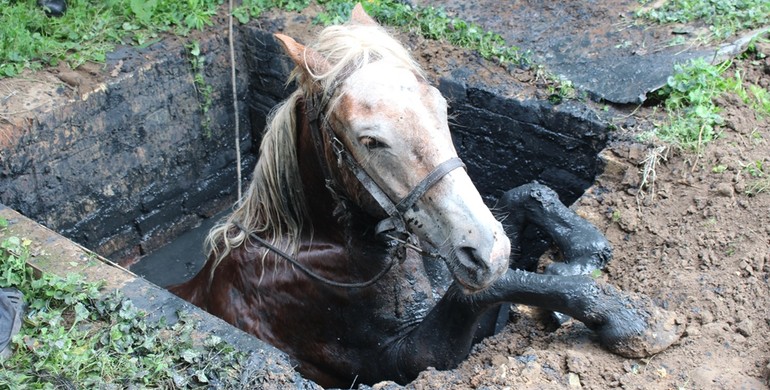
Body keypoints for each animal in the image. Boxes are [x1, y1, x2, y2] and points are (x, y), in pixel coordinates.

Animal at [171, 5, 680, 386]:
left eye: (440, 104)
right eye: (370, 140)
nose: (486, 251)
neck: (320, 249)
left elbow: (526, 196)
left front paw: (580, 254)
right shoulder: (405, 360)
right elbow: (484, 289)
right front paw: (628, 317)